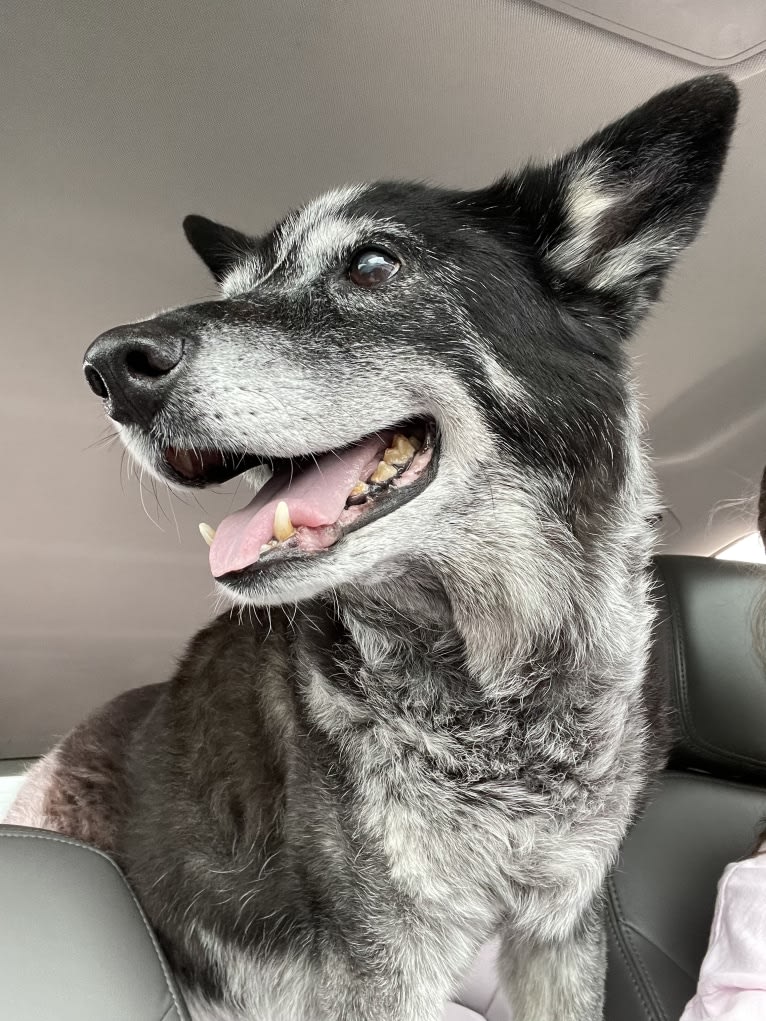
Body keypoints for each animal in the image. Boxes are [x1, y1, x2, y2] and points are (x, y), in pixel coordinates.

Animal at [4, 75, 739, 1016]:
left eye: (373, 265)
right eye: (239, 283)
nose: (107, 366)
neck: (499, 693)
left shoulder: (561, 932)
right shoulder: (382, 963)